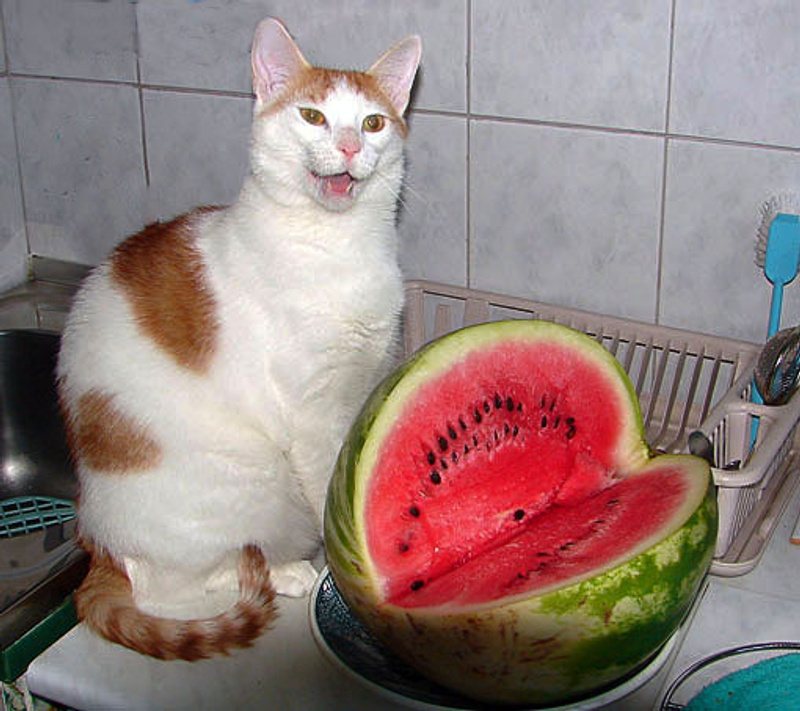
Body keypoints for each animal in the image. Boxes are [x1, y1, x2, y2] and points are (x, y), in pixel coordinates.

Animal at [56, 17, 421, 661]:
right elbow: (329, 490)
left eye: (373, 123)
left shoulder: (358, 387)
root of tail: (97, 543)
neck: (334, 245)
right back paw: (283, 571)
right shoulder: (311, 416)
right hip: (246, 483)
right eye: (313, 117)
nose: (350, 147)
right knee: (176, 584)